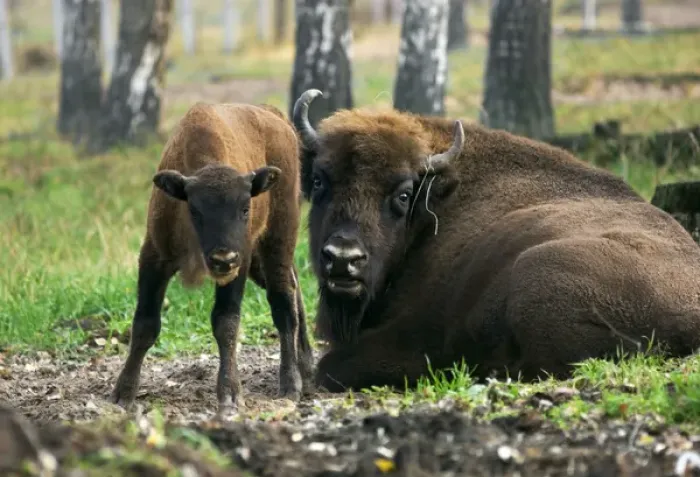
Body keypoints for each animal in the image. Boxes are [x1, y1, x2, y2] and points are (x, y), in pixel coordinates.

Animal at [110, 102, 314, 414]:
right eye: (195, 210)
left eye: (245, 207)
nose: (223, 259)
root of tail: (275, 116)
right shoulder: (153, 257)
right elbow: (145, 323)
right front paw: (123, 394)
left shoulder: (239, 265)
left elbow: (226, 323)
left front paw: (230, 395)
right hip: (261, 261)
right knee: (294, 288)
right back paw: (306, 366)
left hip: (278, 240)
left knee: (283, 304)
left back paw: (291, 385)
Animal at [292, 88, 700, 392]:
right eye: (319, 181)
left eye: (404, 194)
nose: (343, 258)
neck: (436, 201)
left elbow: (330, 366)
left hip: (537, 271)